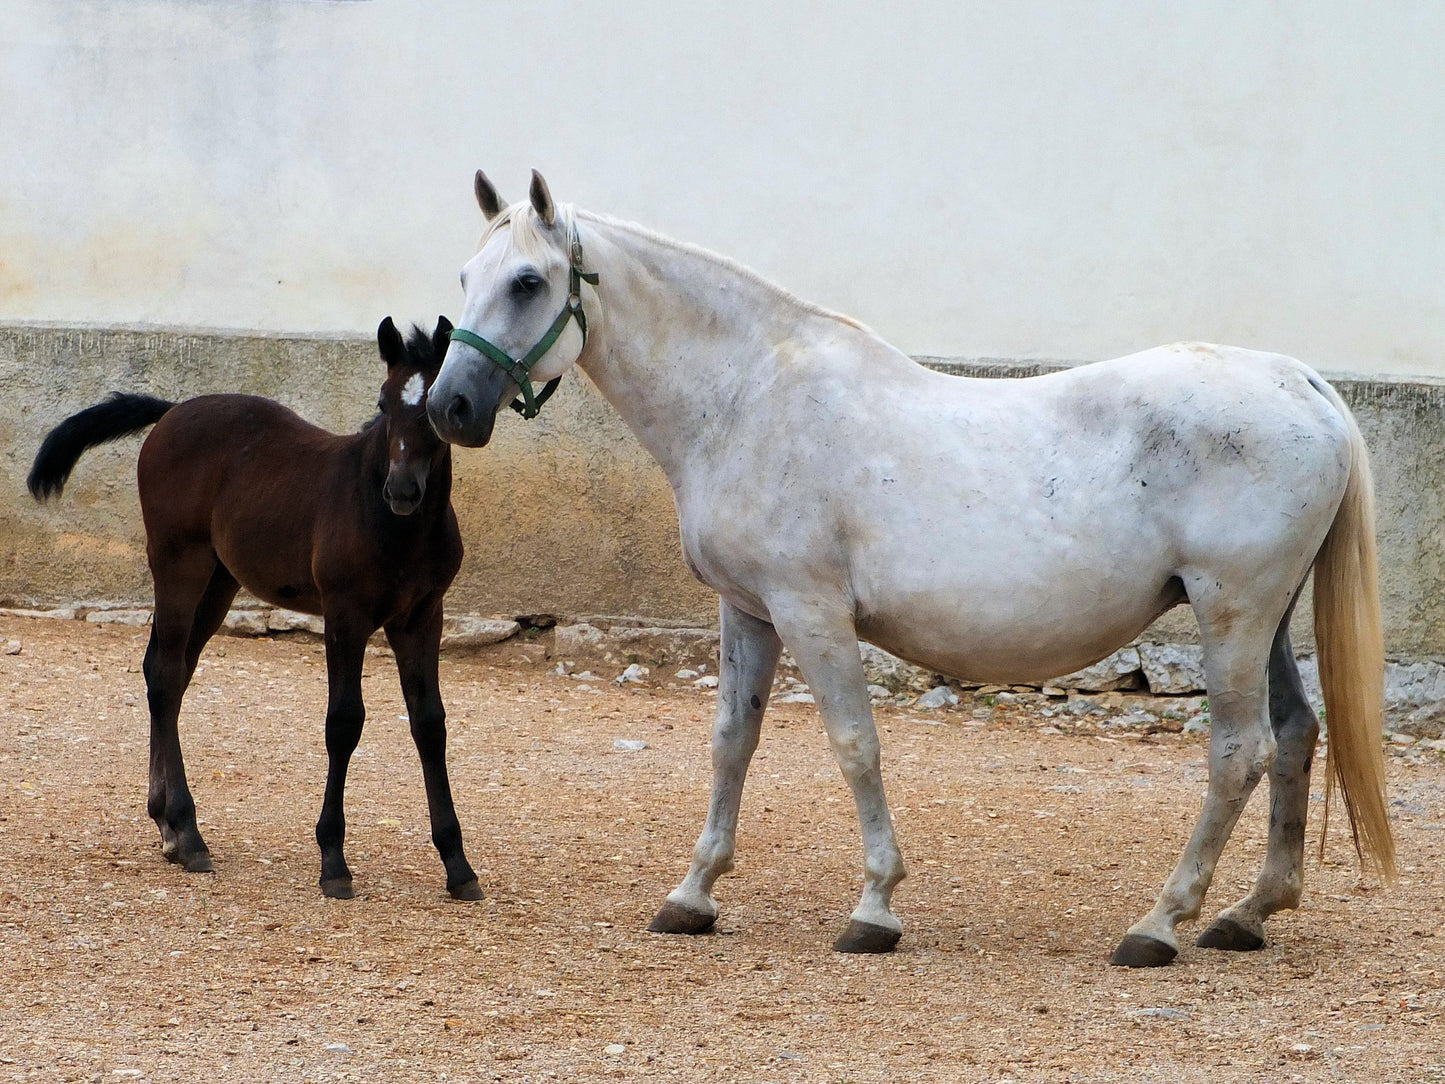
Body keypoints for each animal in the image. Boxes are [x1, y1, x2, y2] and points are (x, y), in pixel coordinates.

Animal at [430, 169, 1398, 965]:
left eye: (527, 281)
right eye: (466, 277)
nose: (448, 407)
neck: (748, 400)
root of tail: (1295, 380)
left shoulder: (809, 610)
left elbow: (854, 745)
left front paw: (874, 908)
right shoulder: (748, 612)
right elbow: (731, 744)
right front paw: (692, 895)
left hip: (1229, 612)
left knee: (1238, 752)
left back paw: (1160, 923)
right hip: (1265, 618)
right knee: (1294, 736)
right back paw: (1248, 914)